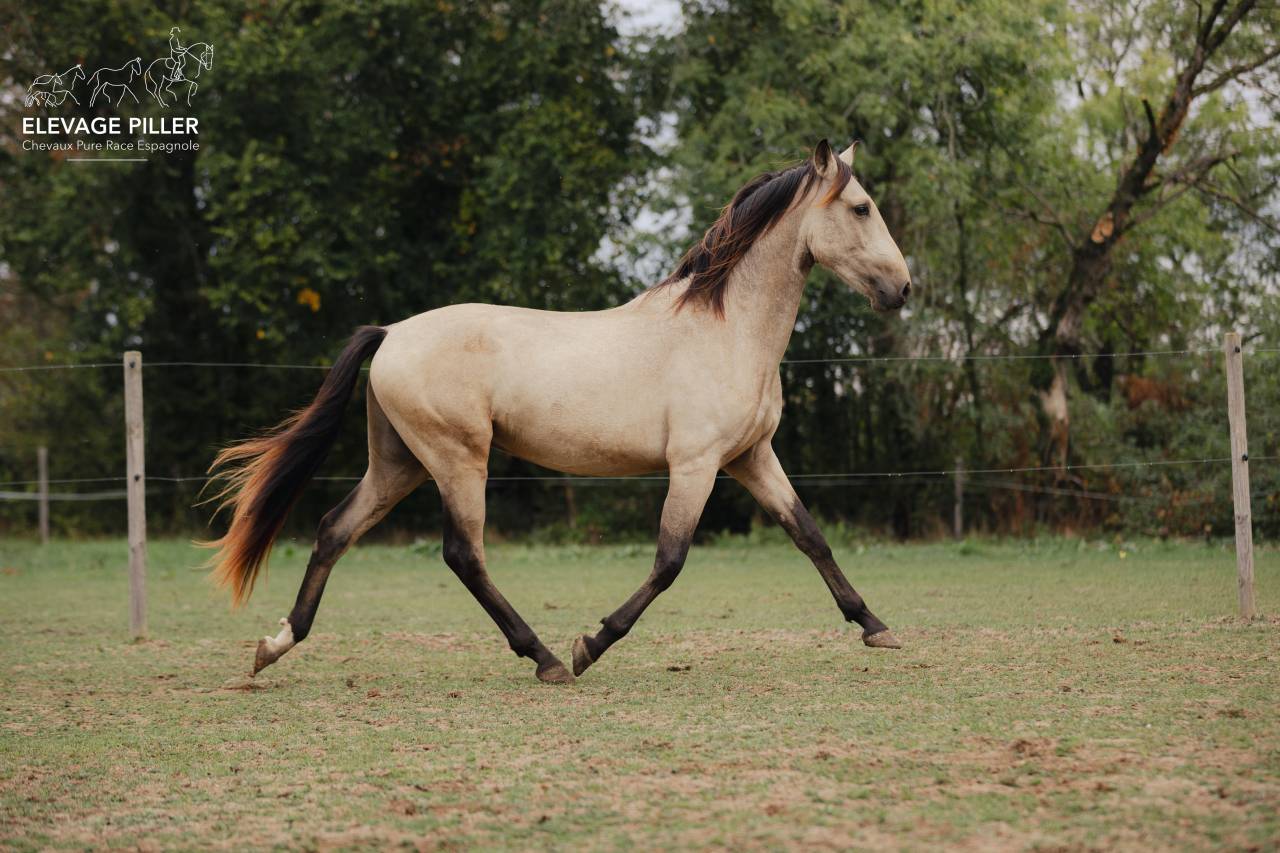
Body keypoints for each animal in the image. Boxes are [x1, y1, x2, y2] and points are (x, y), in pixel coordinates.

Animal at [206, 140, 913, 684]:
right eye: (861, 207)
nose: (903, 289)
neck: (725, 330)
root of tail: (391, 334)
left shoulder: (750, 457)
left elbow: (809, 535)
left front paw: (875, 626)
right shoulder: (697, 464)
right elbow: (670, 559)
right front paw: (590, 645)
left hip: (400, 463)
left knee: (335, 529)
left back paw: (275, 645)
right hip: (457, 459)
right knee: (463, 554)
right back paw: (544, 658)